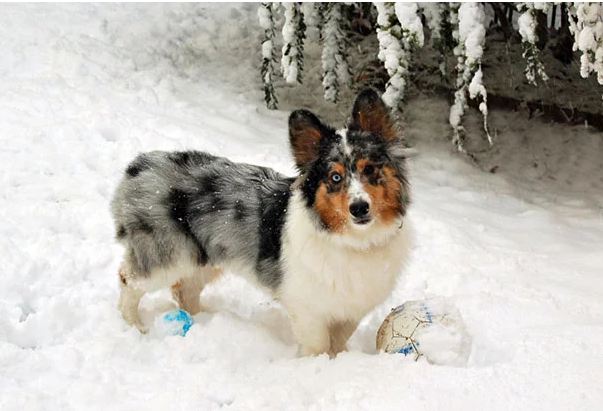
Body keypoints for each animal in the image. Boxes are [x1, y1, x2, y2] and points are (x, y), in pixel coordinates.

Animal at [111, 89, 412, 358]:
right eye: (335, 177)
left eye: (370, 169)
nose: (359, 208)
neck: (354, 241)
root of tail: (137, 167)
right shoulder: (308, 308)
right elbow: (317, 345)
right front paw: (316, 365)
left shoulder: (351, 308)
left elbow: (338, 341)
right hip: (169, 256)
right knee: (129, 279)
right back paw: (135, 326)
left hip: (204, 257)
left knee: (184, 290)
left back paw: (201, 320)